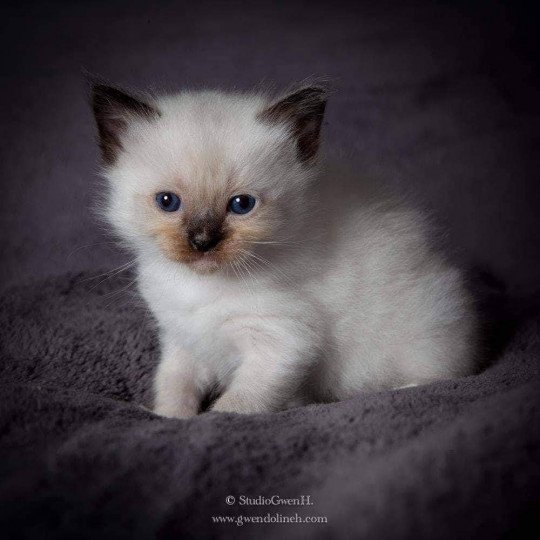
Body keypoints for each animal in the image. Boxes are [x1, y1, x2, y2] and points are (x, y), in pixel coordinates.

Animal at [92, 82, 476, 418]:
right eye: (168, 202)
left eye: (242, 205)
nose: (202, 241)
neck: (200, 286)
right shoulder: (183, 339)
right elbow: (174, 385)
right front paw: (169, 419)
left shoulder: (283, 341)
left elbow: (238, 402)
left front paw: (213, 422)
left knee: (433, 379)